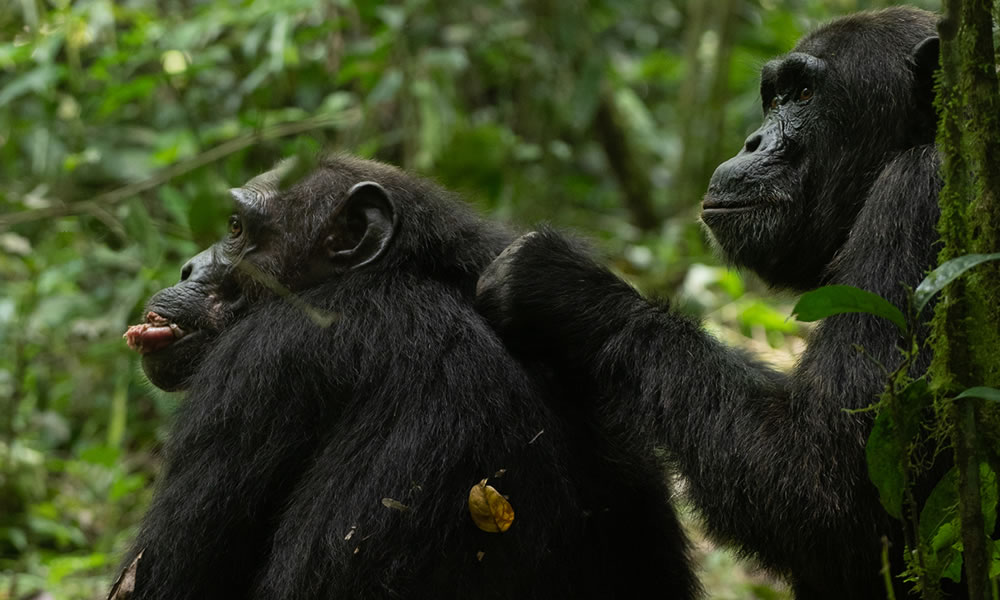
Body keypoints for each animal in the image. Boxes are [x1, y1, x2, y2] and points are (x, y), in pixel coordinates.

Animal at [480, 5, 948, 600]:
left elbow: (823, 493)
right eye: (775, 97)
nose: (752, 141)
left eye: (803, 95)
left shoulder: (915, 204)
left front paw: (564, 291)